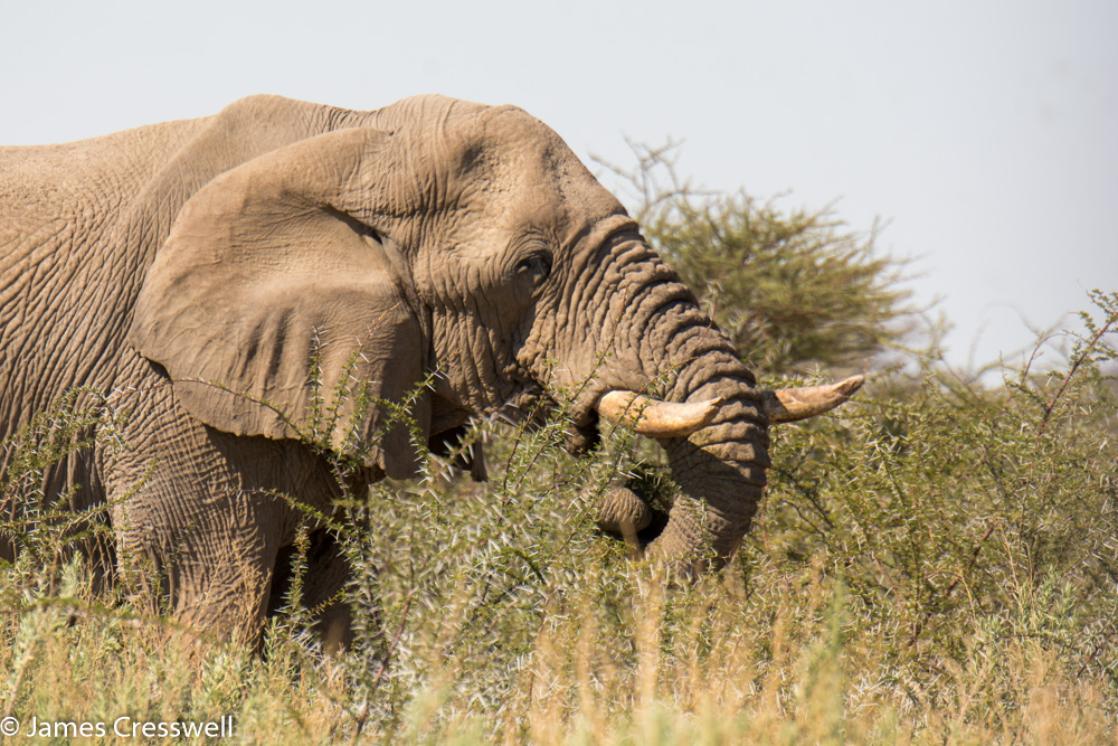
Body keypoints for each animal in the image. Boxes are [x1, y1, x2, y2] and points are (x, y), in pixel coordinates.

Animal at [0, 95, 858, 648]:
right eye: (532, 267)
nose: (632, 505)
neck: (352, 138)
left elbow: (332, 606)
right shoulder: (165, 388)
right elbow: (199, 605)